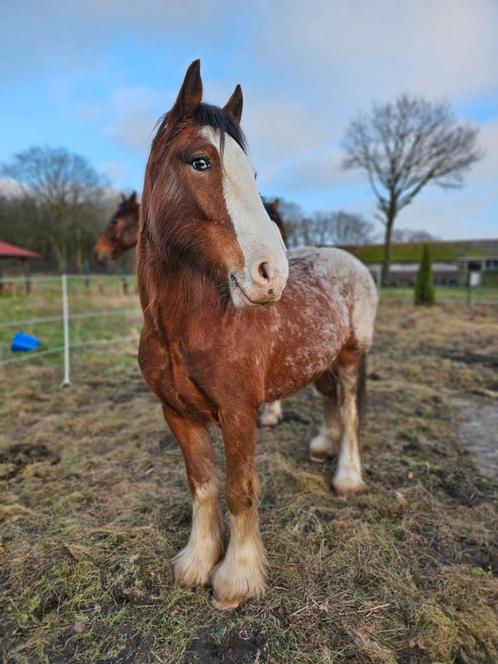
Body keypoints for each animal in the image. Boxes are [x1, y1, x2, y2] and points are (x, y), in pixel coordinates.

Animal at [136, 61, 378, 608]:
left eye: (253, 175)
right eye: (201, 161)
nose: (273, 274)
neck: (189, 326)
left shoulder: (239, 413)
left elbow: (239, 491)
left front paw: (236, 579)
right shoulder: (177, 413)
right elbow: (203, 486)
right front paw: (196, 564)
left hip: (351, 355)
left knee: (352, 410)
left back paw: (346, 476)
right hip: (319, 361)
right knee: (331, 401)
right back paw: (323, 445)